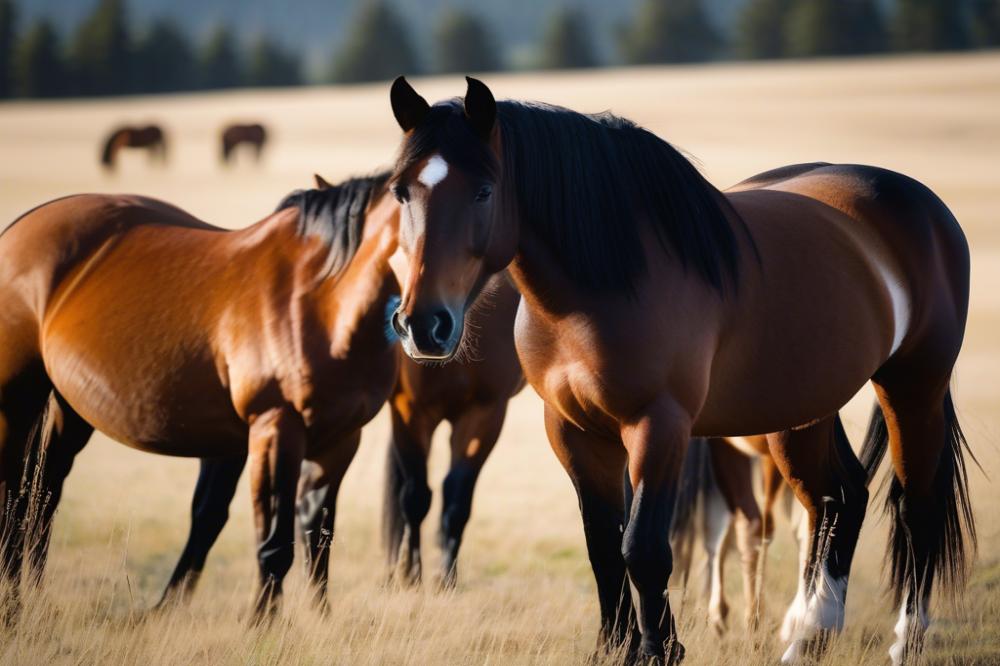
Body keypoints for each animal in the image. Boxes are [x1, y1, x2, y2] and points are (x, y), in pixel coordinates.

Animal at [0, 172, 400, 616]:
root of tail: (26, 222)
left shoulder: (255, 442)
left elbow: (216, 513)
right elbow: (223, 515)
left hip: (70, 408)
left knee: (46, 487)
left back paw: (33, 592)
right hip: (24, 401)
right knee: (24, 490)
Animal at [380, 75, 968, 660]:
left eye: (483, 190)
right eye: (401, 192)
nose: (424, 324)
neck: (602, 286)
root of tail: (922, 206)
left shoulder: (659, 425)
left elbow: (642, 548)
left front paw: (658, 649)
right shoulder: (573, 431)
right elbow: (603, 548)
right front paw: (617, 646)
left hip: (912, 386)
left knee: (916, 504)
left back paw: (905, 641)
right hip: (803, 410)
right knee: (838, 497)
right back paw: (808, 638)